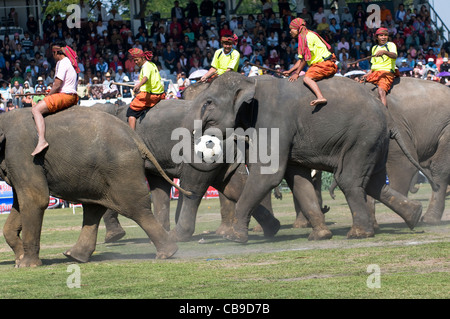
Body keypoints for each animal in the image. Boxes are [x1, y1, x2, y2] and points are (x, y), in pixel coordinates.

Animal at [0, 107, 186, 268]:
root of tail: (136, 137)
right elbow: (21, 203)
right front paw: (19, 259)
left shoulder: (23, 153)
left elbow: (36, 199)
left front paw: (26, 265)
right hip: (95, 173)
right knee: (94, 207)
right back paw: (74, 256)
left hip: (121, 169)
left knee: (135, 208)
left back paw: (167, 253)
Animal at [90, 102, 282, 242]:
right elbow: (158, 187)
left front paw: (114, 237)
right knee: (233, 187)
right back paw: (272, 228)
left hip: (201, 153)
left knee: (193, 187)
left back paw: (178, 236)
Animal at [190, 72, 426, 242]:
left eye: (208, 103)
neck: (250, 81)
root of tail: (387, 115)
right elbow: (297, 178)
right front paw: (320, 236)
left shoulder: (273, 121)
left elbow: (269, 174)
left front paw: (235, 238)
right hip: (374, 142)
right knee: (373, 183)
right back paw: (415, 215)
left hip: (363, 137)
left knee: (348, 180)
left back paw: (359, 234)